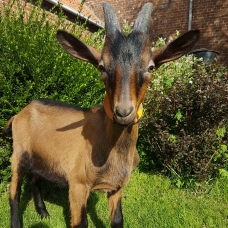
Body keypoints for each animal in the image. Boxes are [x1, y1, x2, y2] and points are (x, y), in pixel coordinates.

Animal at [3, 2, 200, 228]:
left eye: (151, 67)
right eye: (101, 66)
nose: (123, 111)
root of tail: (20, 113)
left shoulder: (117, 186)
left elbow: (118, 219)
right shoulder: (78, 185)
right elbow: (80, 223)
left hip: (40, 156)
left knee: (35, 178)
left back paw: (43, 212)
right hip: (19, 152)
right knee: (14, 189)